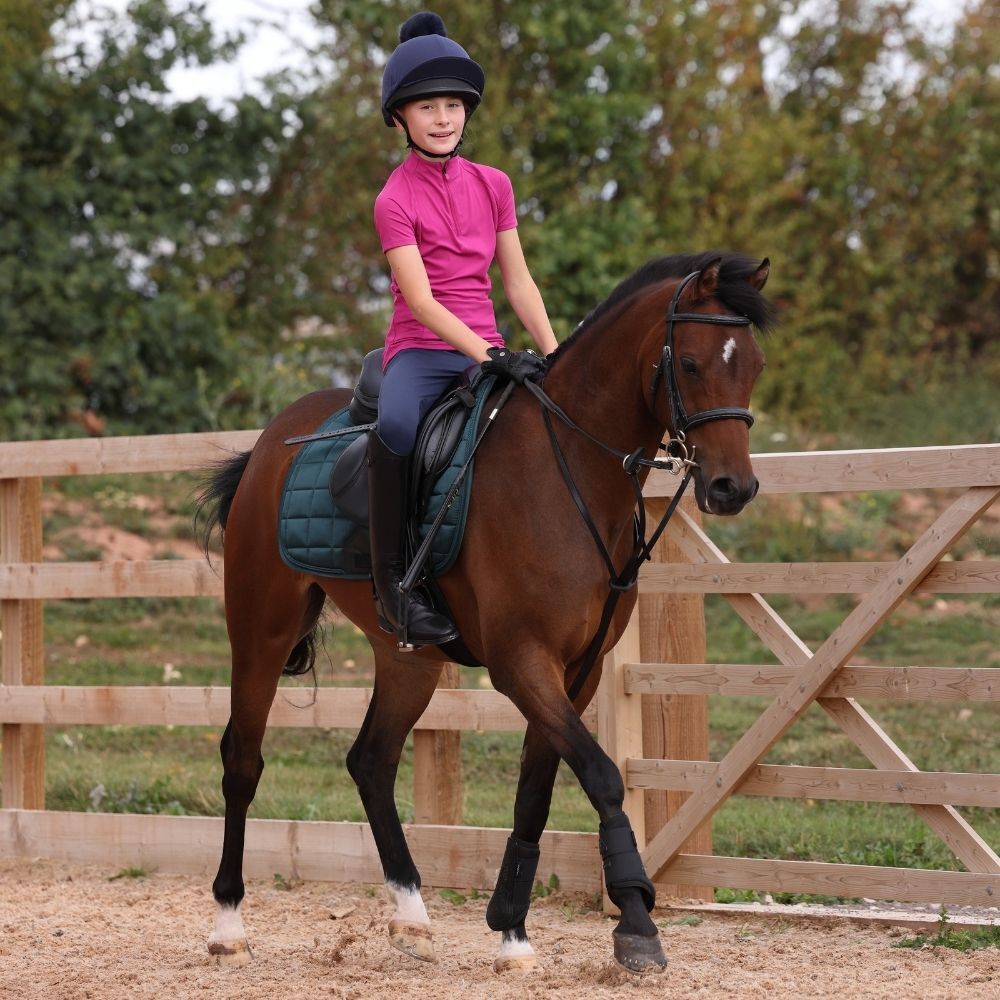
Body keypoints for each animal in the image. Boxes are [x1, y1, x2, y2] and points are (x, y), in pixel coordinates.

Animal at [197, 250, 774, 975]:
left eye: (753, 364)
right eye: (691, 364)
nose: (732, 488)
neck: (569, 470)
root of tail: (269, 443)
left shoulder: (577, 672)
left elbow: (537, 792)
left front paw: (512, 931)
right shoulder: (522, 661)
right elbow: (603, 777)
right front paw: (636, 923)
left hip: (408, 660)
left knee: (371, 762)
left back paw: (412, 916)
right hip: (263, 630)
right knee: (242, 760)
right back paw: (228, 925)